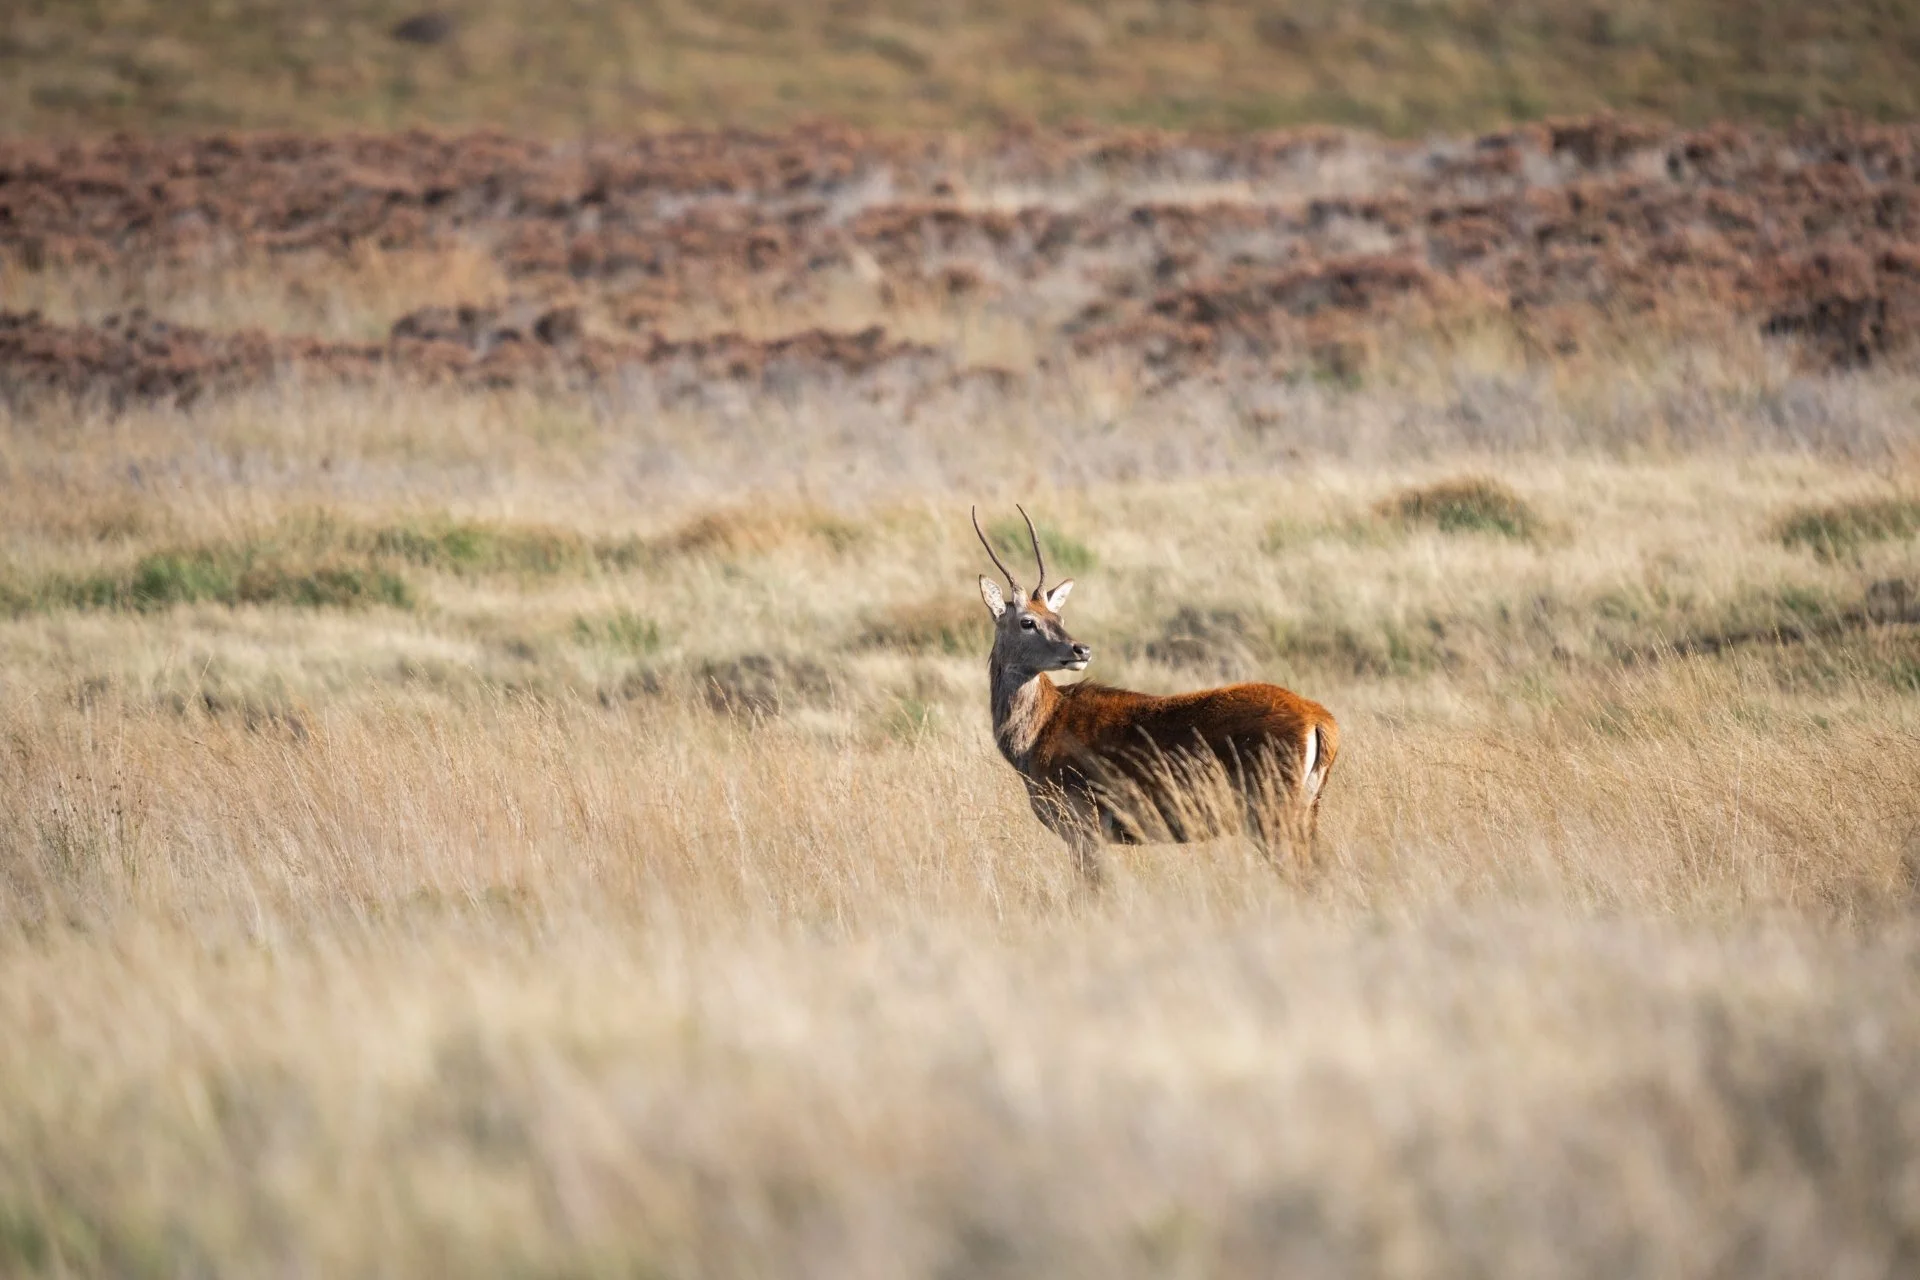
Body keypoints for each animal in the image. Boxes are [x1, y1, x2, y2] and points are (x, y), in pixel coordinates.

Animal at [973, 505, 1338, 888]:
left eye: (1057, 615)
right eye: (1028, 621)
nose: (1080, 649)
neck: (1040, 731)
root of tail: (1319, 719)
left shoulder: (1084, 826)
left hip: (1273, 814)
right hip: (1307, 811)